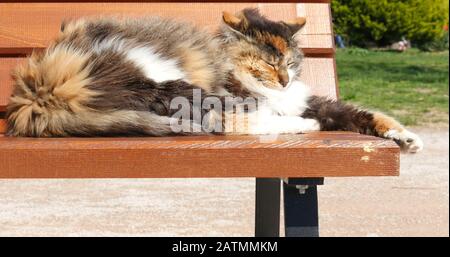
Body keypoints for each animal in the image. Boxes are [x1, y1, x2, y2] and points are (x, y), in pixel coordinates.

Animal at [5, 8, 424, 152]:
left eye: (290, 61)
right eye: (266, 63)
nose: (284, 81)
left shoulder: (313, 100)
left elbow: (363, 114)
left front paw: (405, 138)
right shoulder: (236, 99)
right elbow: (256, 119)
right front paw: (308, 122)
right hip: (168, 83)